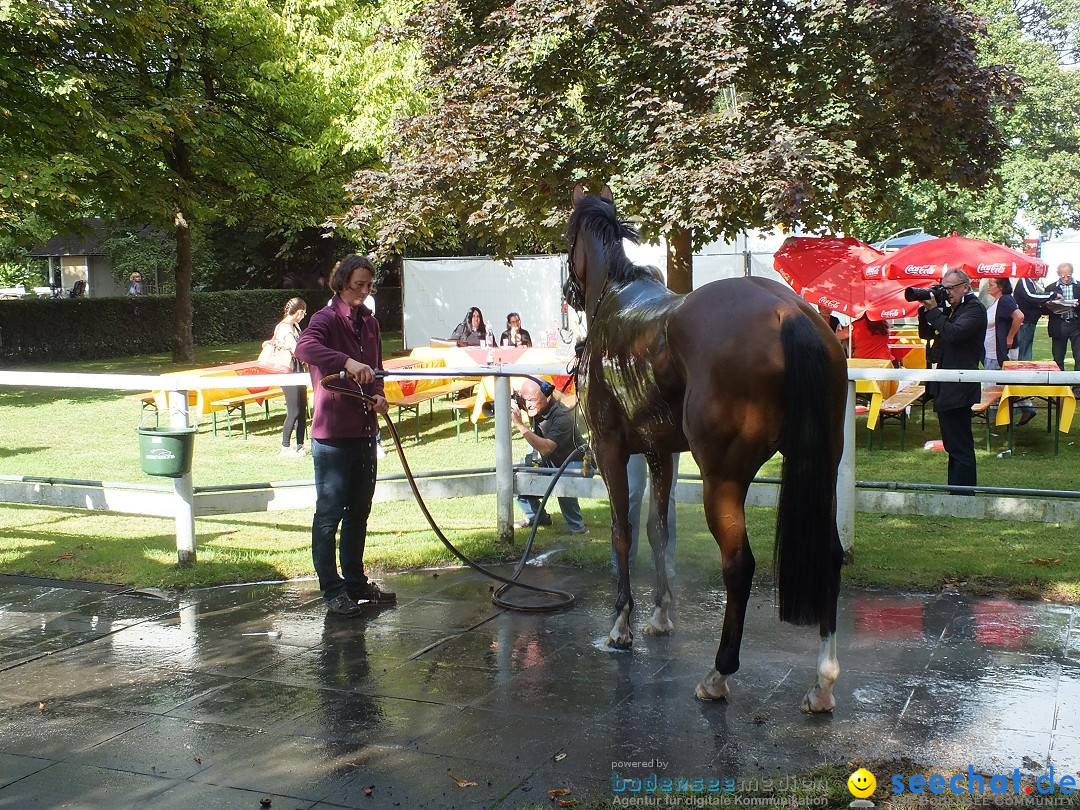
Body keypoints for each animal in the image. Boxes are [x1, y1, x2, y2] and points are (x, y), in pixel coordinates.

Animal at [565, 182, 851, 708]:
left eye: (567, 238)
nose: (568, 291)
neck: (617, 298)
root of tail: (790, 312)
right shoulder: (660, 451)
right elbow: (659, 530)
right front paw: (660, 616)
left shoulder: (613, 449)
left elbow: (623, 532)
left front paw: (621, 625)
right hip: (822, 463)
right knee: (830, 554)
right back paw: (822, 680)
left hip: (723, 479)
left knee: (738, 565)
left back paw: (719, 673)